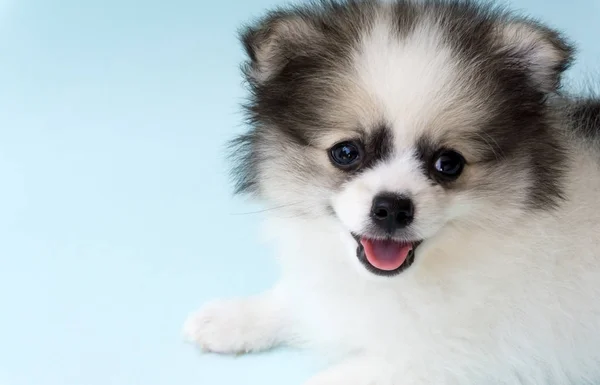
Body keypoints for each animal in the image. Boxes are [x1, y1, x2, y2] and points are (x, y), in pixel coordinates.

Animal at [183, 1, 600, 382]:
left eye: (449, 163)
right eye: (346, 152)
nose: (392, 208)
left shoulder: (451, 357)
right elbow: (300, 296)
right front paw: (236, 316)